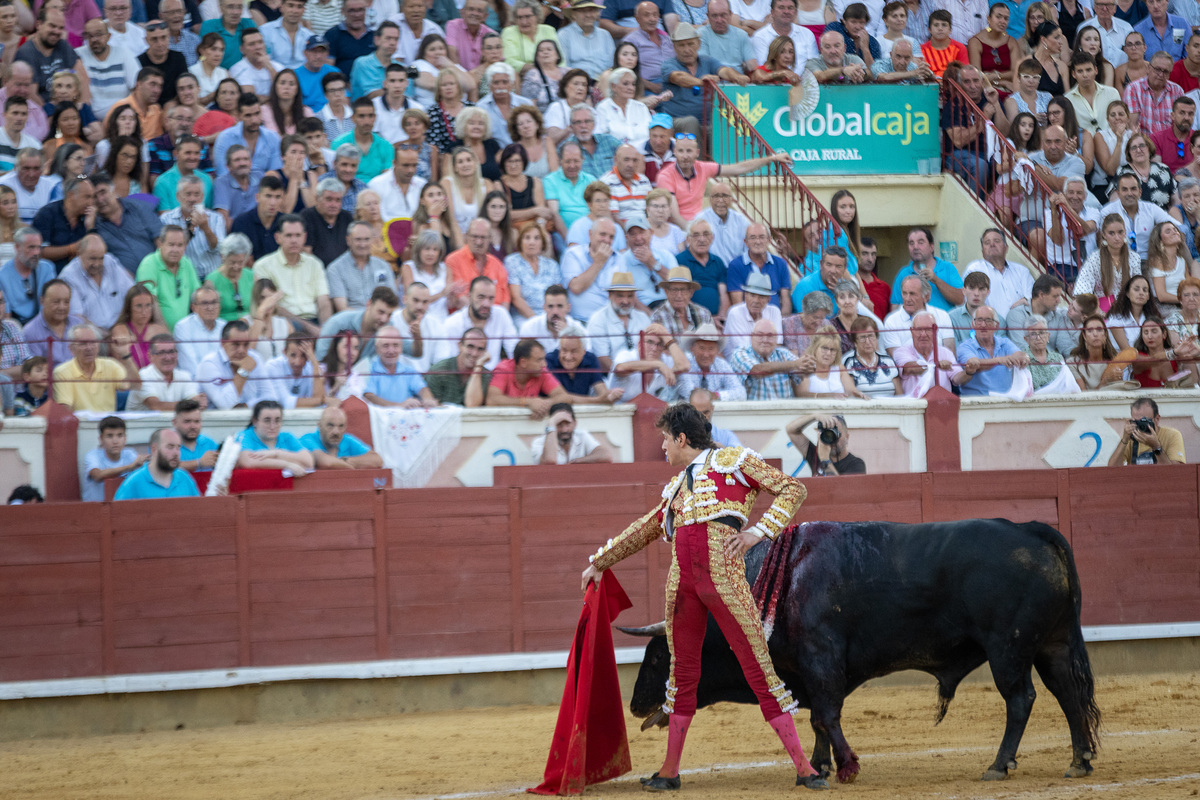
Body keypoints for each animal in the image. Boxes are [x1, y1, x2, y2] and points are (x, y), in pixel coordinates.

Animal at [624, 515, 1099, 786]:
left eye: (659, 655)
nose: (634, 705)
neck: (780, 579)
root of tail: (1030, 530)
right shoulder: (807, 673)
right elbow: (816, 719)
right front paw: (821, 766)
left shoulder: (821, 661)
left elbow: (825, 715)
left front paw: (846, 767)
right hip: (1052, 644)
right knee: (1068, 694)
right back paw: (1079, 760)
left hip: (1008, 649)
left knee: (1021, 700)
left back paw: (999, 766)